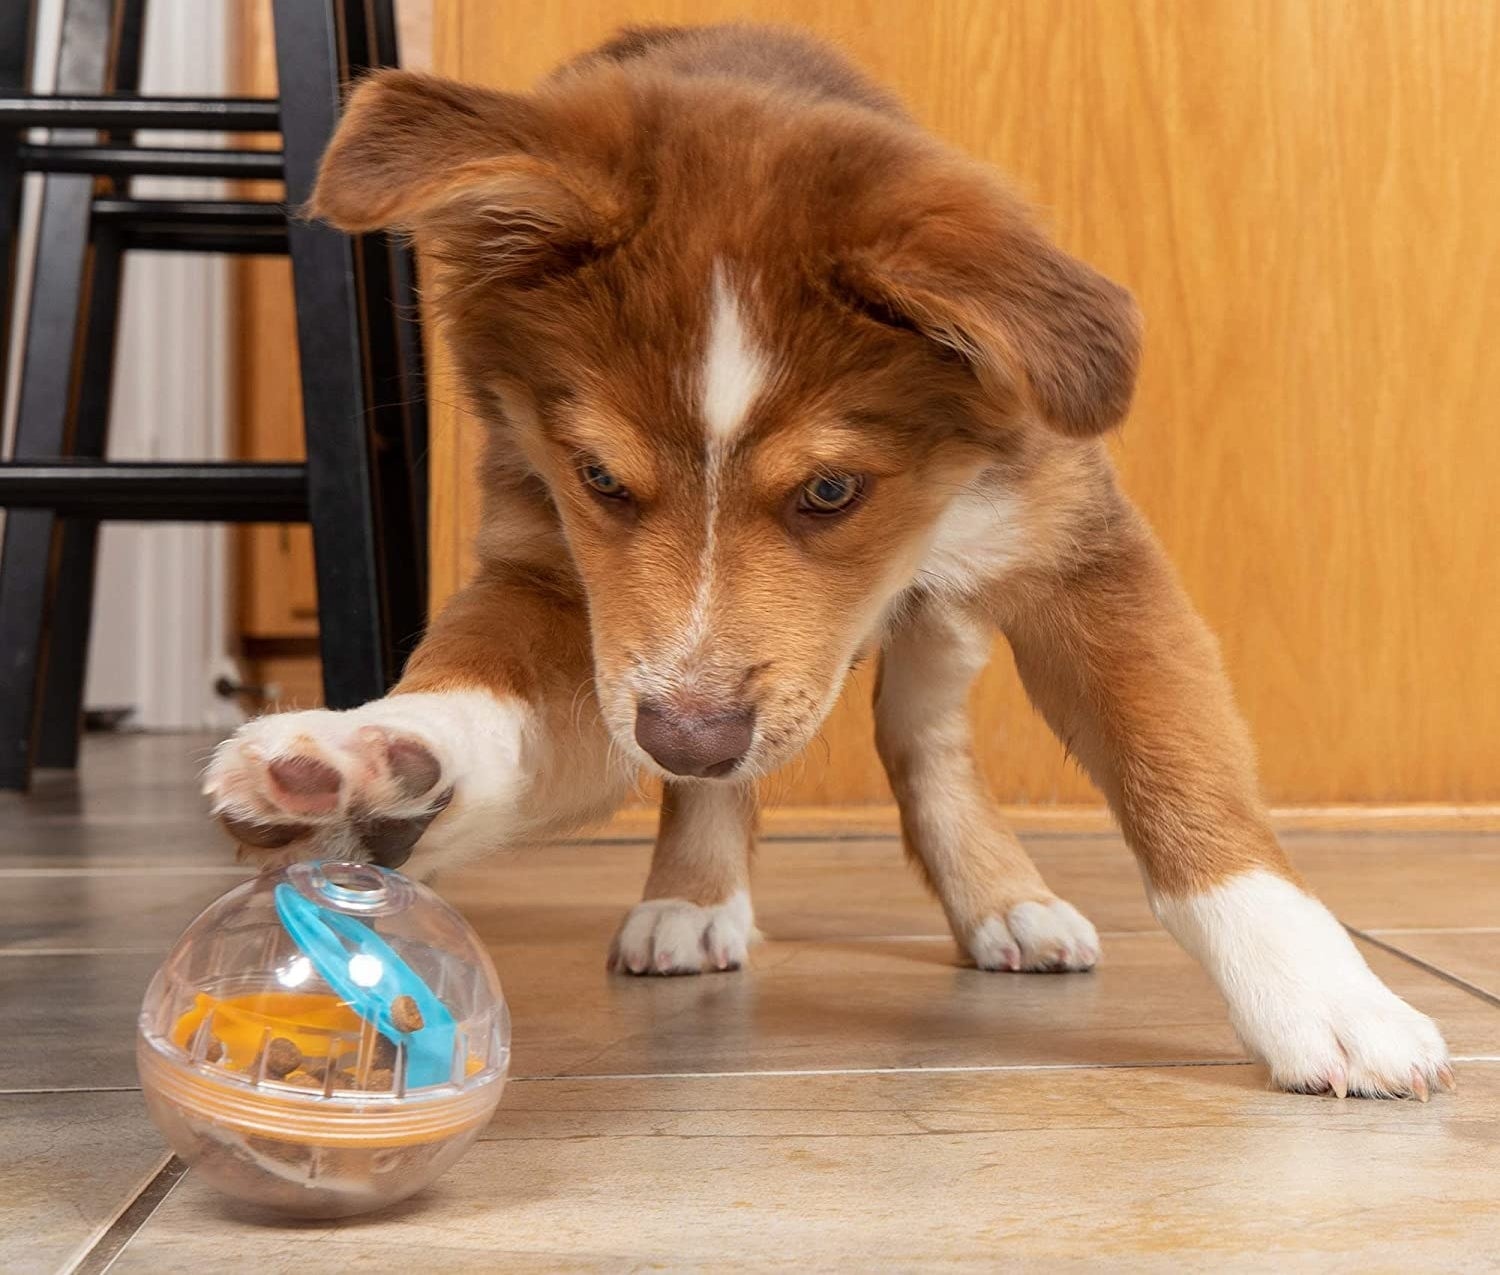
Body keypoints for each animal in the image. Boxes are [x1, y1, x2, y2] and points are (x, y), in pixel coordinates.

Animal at [205, 22, 1446, 1092]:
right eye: (598, 476)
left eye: (833, 490)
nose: (689, 736)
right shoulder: (571, 588)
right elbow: (487, 687)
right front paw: (368, 760)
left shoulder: (1082, 552)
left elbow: (1181, 773)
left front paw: (1325, 998)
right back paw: (691, 895)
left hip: (946, 614)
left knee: (920, 734)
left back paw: (1003, 900)